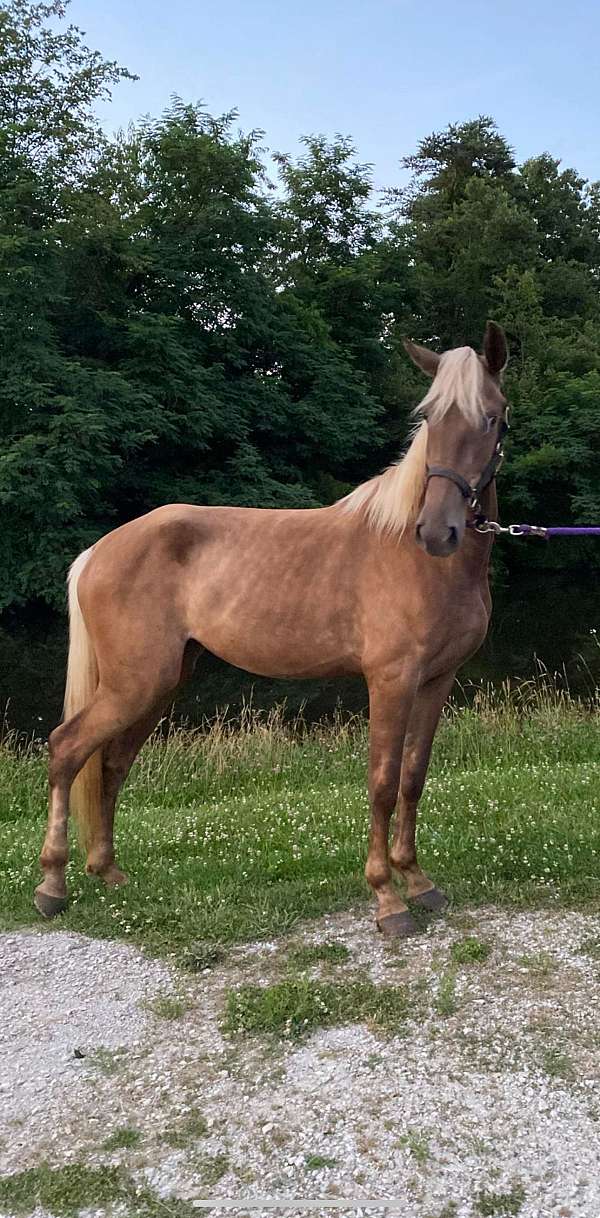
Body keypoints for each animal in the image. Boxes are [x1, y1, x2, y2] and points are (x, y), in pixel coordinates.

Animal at [35, 321, 508, 930]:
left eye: (491, 417)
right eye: (429, 417)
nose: (436, 531)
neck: (421, 561)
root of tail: (98, 550)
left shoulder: (436, 680)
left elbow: (412, 776)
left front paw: (419, 882)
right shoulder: (391, 680)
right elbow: (381, 782)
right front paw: (387, 899)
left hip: (157, 686)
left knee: (113, 763)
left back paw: (108, 872)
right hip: (133, 684)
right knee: (68, 749)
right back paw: (52, 885)